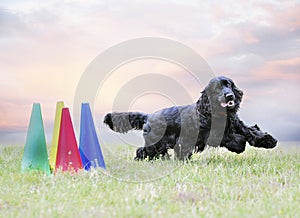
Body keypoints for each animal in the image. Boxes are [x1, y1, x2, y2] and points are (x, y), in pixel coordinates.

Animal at [103, 76, 276, 159]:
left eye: (229, 84)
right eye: (217, 88)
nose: (230, 96)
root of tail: (148, 116)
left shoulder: (237, 124)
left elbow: (252, 131)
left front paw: (269, 141)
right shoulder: (210, 134)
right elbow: (232, 138)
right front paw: (239, 145)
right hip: (156, 143)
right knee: (143, 150)